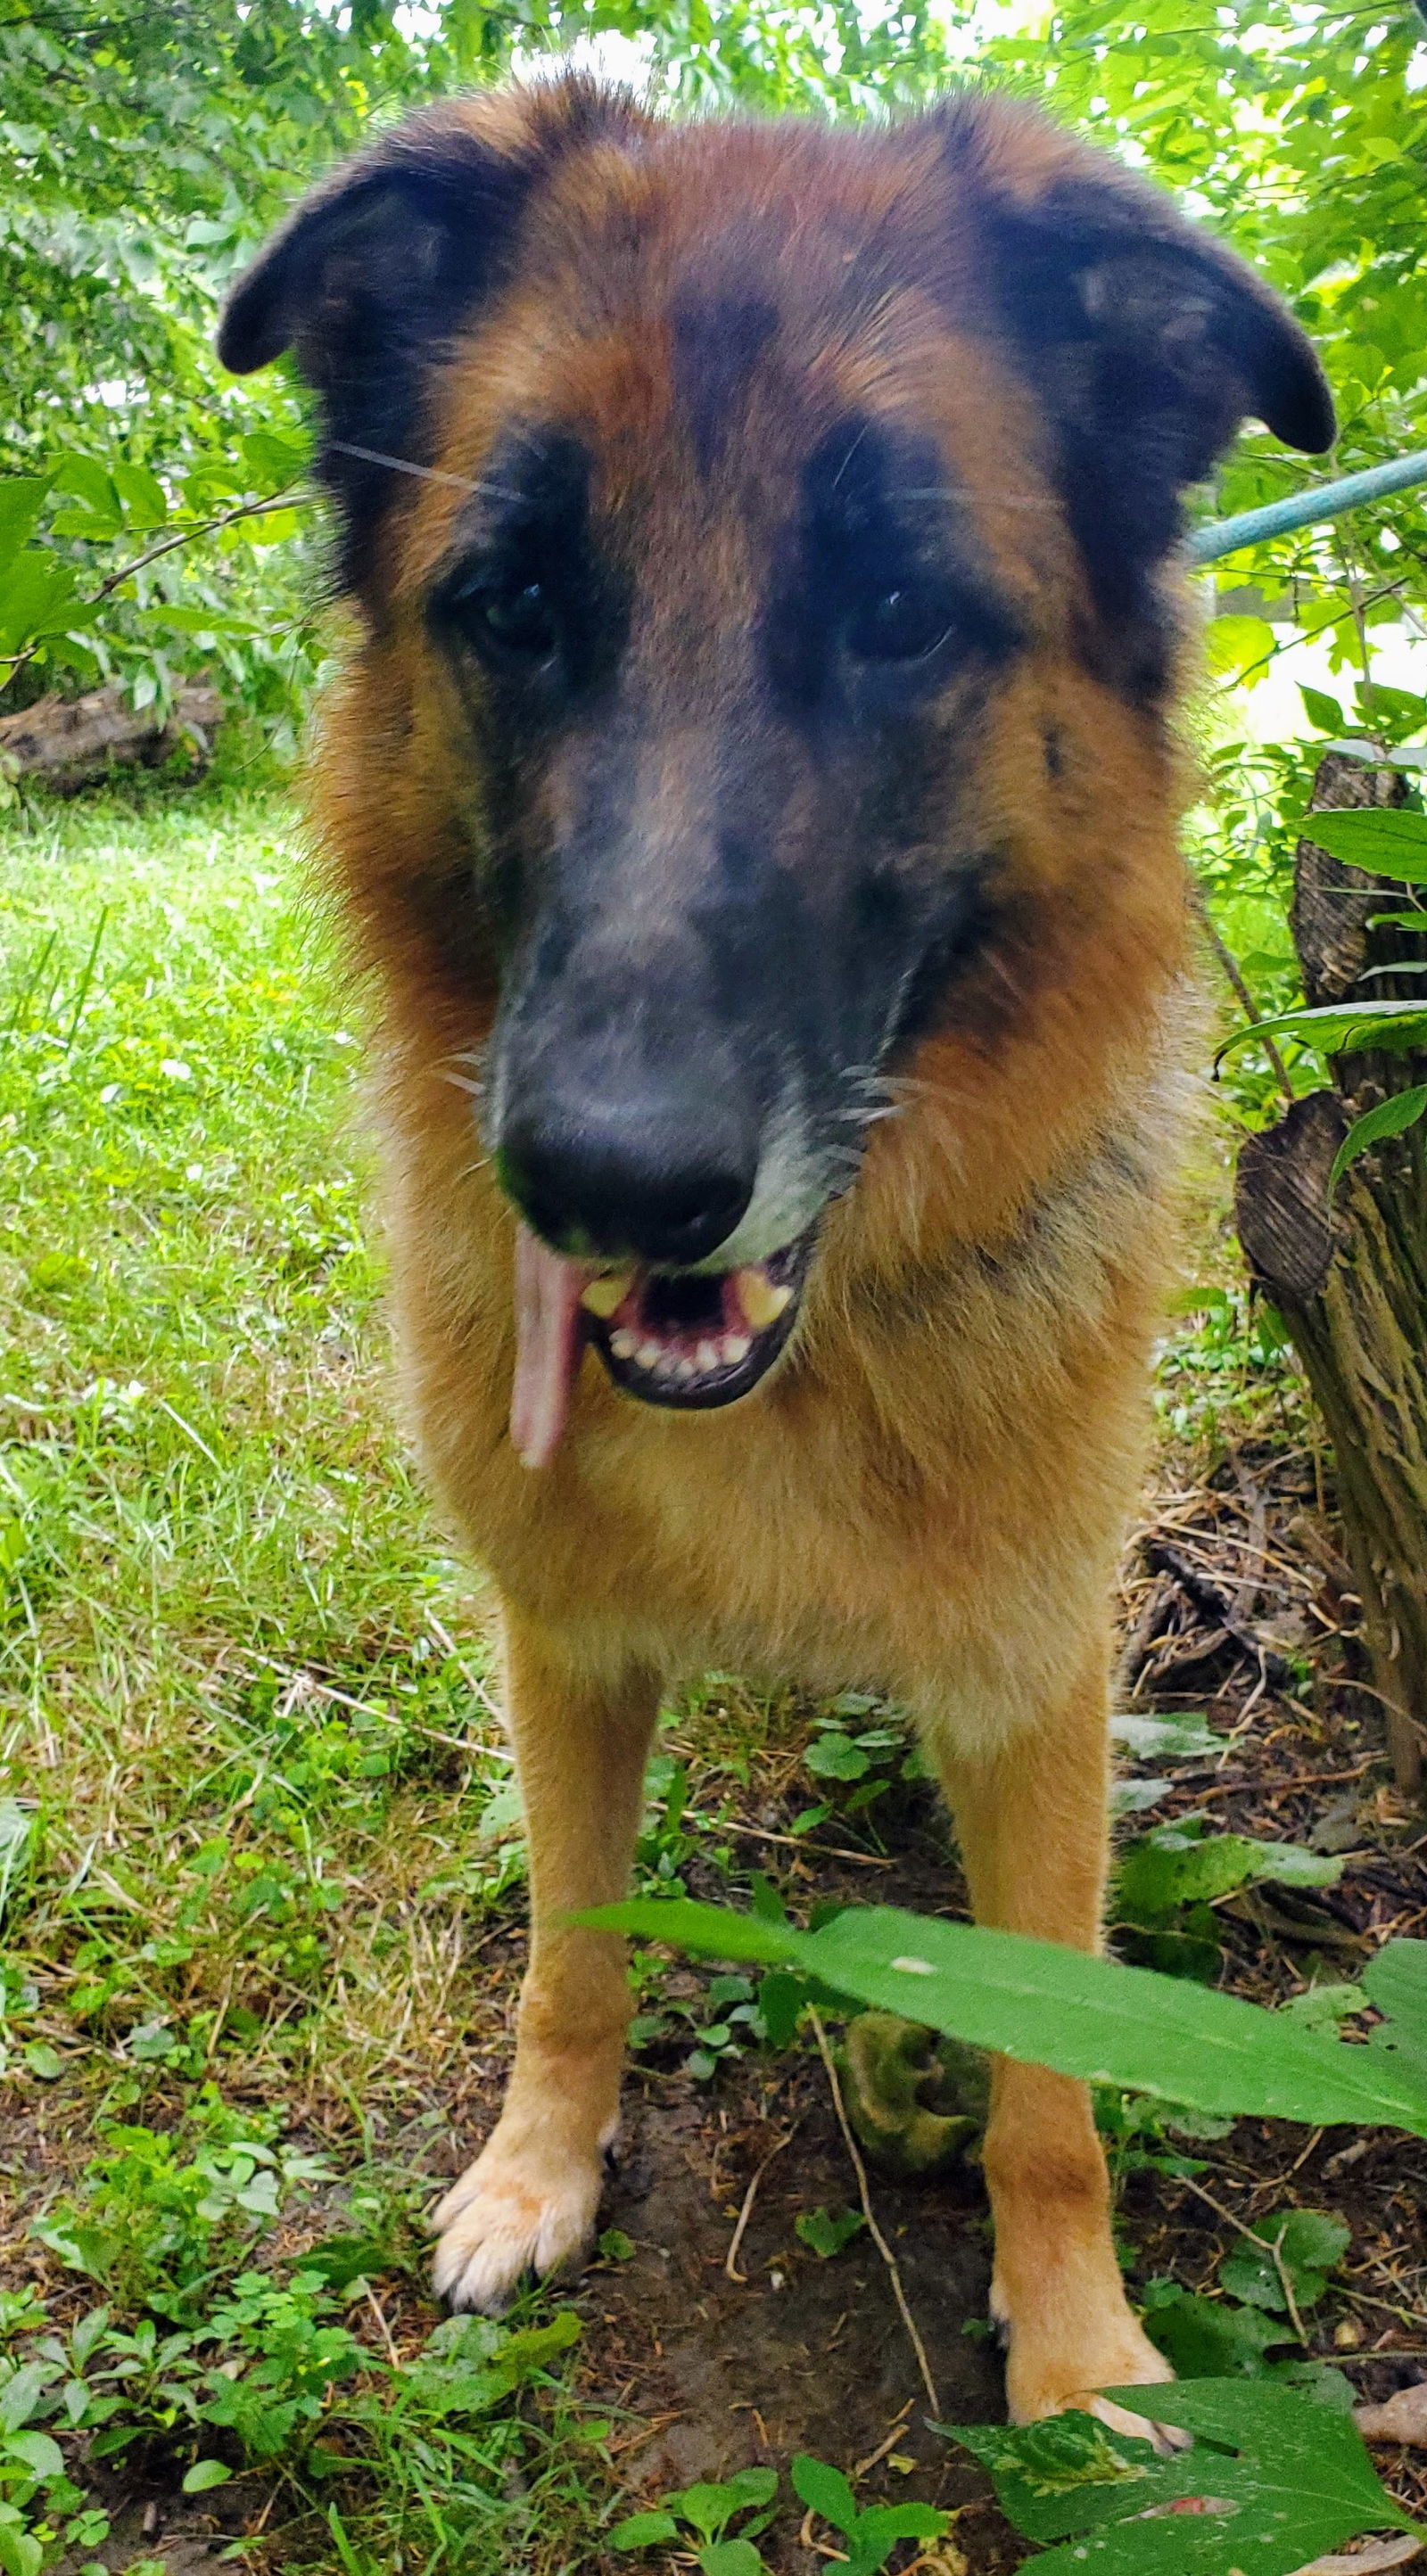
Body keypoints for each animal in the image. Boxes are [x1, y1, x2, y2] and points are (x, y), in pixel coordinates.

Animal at [221, 75, 1329, 2411]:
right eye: (512, 603)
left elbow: (1048, 2082)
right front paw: (539, 2166)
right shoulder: (566, 1649)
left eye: (900, 608)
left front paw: (1077, 2355)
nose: (607, 1180)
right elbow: (568, 1947)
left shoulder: (1030, 1684)